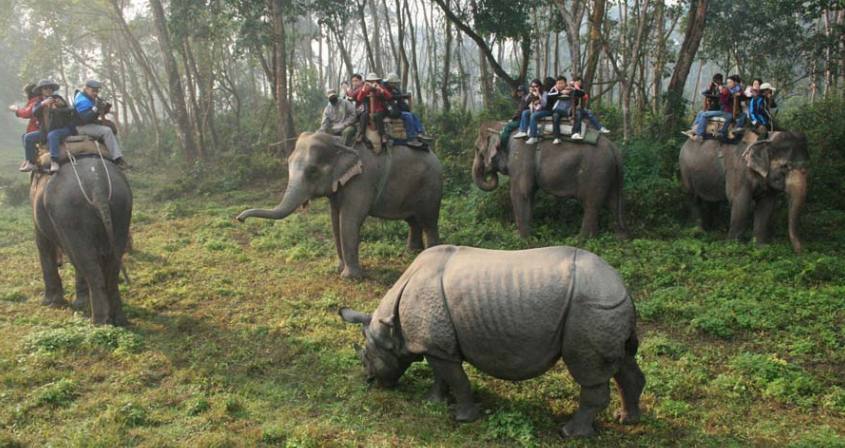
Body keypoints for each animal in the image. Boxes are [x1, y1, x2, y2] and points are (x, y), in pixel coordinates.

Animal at [30, 156, 132, 324]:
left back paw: (99, 322)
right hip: (121, 209)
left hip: (70, 215)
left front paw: (49, 303)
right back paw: (118, 319)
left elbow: (43, 244)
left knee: (85, 261)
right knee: (110, 264)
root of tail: (97, 186)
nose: (60, 263)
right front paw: (80, 303)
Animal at [234, 131, 438, 278]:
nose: (239, 219)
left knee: (428, 221)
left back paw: (430, 254)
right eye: (289, 163)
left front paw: (349, 277)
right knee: (413, 220)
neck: (339, 142)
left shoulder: (361, 180)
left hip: (431, 185)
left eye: (312, 171)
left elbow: (348, 220)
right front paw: (338, 268)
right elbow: (334, 219)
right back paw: (412, 253)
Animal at [340, 245, 644, 438]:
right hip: (605, 307)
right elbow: (442, 375)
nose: (369, 380)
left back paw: (571, 433)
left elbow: (457, 380)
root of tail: (623, 287)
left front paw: (463, 418)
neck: (391, 326)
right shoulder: (436, 344)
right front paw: (433, 402)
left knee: (588, 371)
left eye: (367, 357)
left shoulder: (436, 344)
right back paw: (627, 419)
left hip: (591, 308)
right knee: (623, 362)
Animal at [474, 119, 628, 238]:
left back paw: (581, 240)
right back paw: (620, 239)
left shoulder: (520, 157)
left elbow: (520, 193)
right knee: (613, 203)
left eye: (476, 149)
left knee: (591, 205)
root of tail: (614, 149)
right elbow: (529, 194)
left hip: (595, 172)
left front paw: (522, 240)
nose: (489, 171)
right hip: (610, 174)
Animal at [676, 131, 808, 254]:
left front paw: (760, 247)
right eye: (785, 166)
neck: (765, 140)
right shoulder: (738, 170)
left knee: (713, 202)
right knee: (694, 199)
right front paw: (733, 246)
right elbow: (740, 202)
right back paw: (699, 232)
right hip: (685, 170)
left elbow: (766, 206)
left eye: (807, 166)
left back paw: (713, 230)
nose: (800, 251)